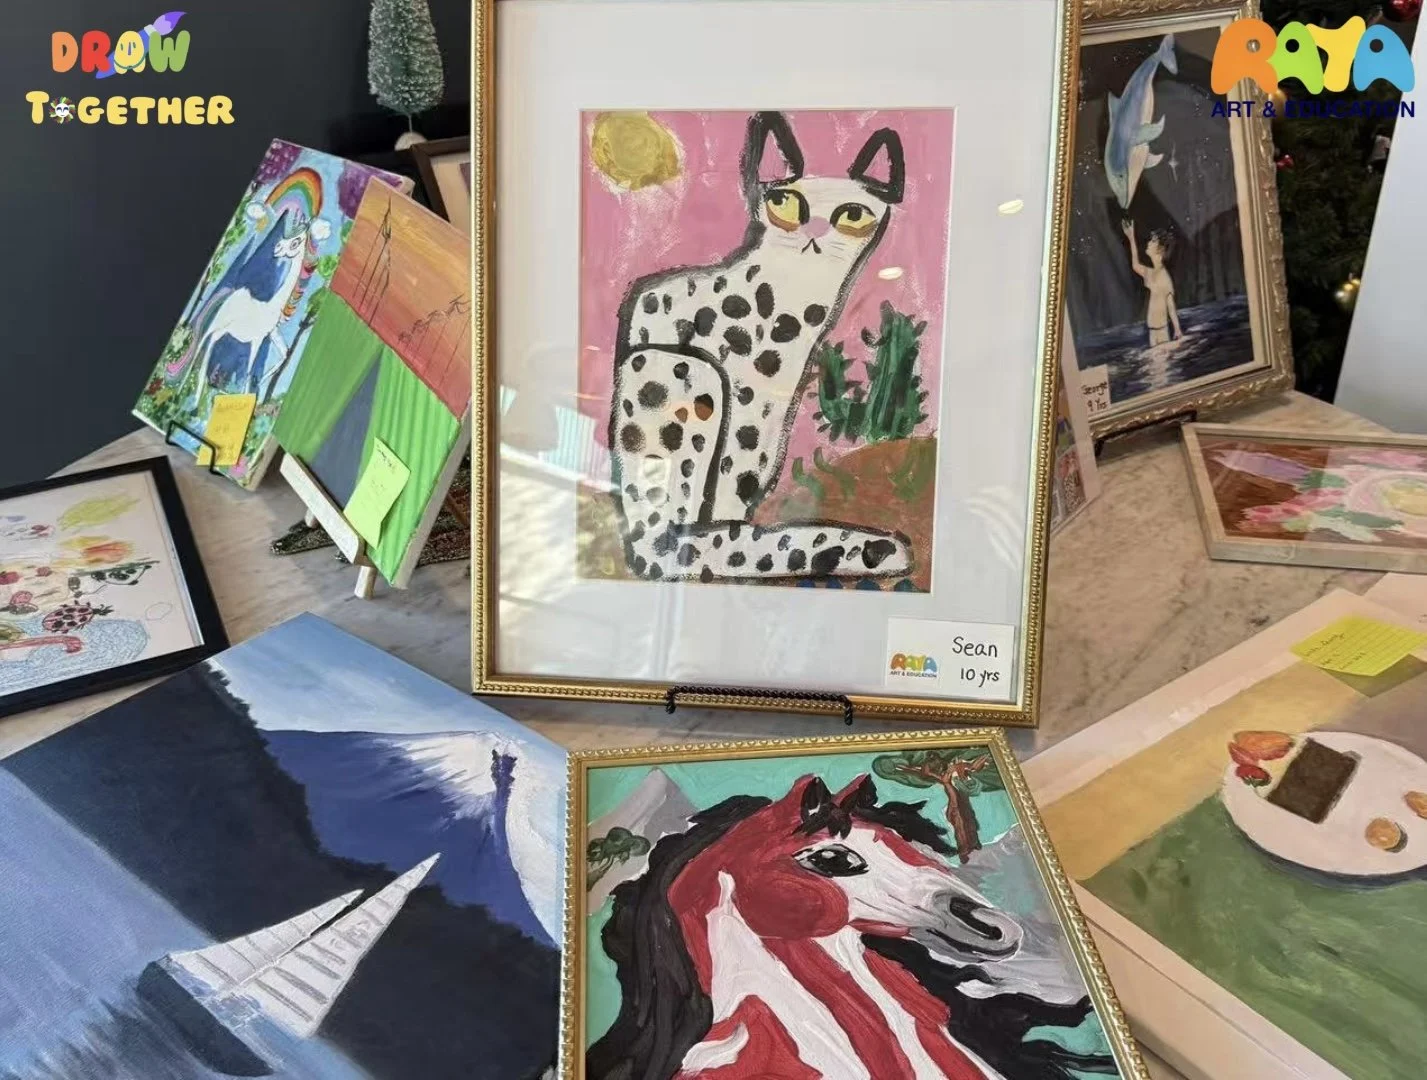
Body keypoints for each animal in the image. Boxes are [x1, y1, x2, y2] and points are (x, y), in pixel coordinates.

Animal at [608, 111, 915, 583]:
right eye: (785, 202)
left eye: (852, 214)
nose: (815, 231)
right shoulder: (735, 386)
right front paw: (729, 545)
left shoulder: (765, 413)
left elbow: (738, 478)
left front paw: (734, 539)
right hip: (680, 371)